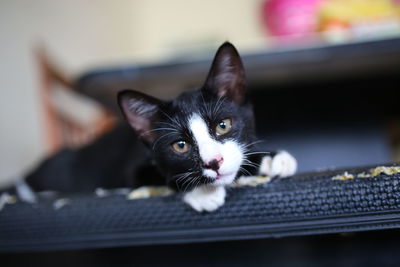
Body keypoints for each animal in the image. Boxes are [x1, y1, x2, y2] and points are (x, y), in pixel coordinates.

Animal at [6, 42, 296, 214]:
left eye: (223, 126)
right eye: (180, 145)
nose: (214, 162)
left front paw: (271, 158)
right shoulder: (131, 169)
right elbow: (162, 176)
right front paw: (203, 192)